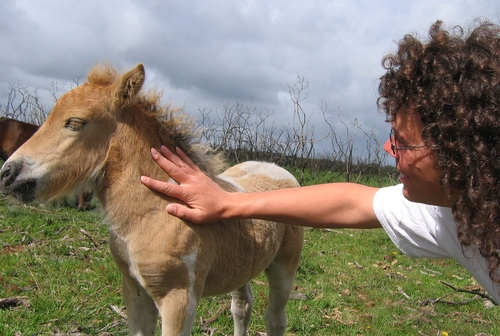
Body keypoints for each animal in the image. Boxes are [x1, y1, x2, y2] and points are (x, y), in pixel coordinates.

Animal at [0, 63, 304, 336]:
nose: (7, 173)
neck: (152, 213)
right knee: (242, 306)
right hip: (243, 262)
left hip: (284, 266)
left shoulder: (179, 298)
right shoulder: (134, 290)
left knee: (275, 317)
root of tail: (274, 167)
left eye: (75, 123)